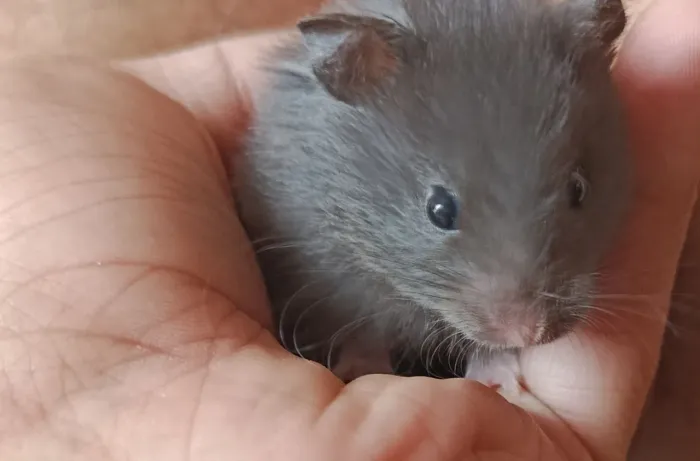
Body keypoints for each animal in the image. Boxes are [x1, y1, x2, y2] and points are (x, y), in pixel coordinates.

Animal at [231, 0, 631, 381]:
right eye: (439, 210)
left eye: (579, 189)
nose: (529, 333)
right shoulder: (332, 285)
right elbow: (362, 334)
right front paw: (361, 370)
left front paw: (498, 377)